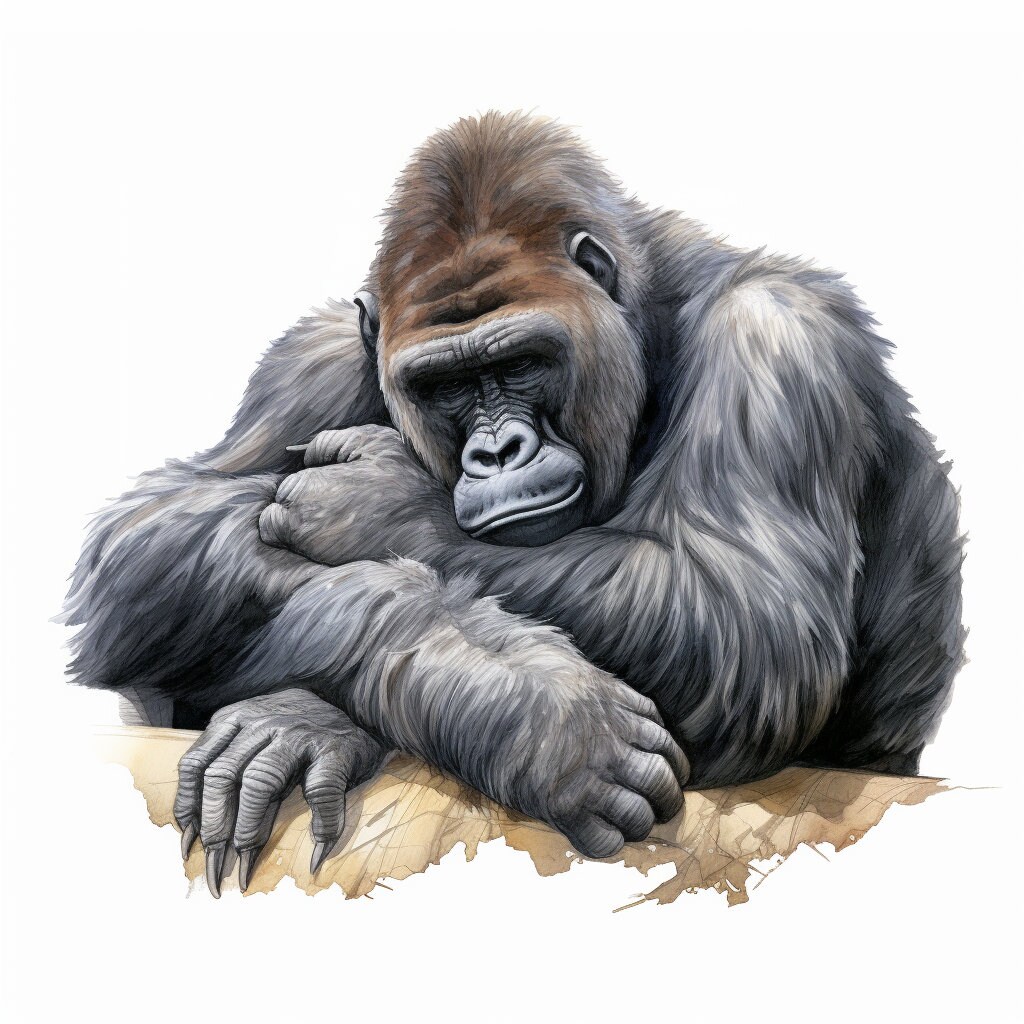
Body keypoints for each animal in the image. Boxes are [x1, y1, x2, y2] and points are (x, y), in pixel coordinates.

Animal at [64, 111, 964, 896]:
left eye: (522, 362)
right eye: (446, 385)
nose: (497, 453)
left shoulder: (777, 338)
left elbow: (747, 625)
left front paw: (373, 511)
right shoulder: (309, 358)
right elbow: (141, 545)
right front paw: (535, 713)